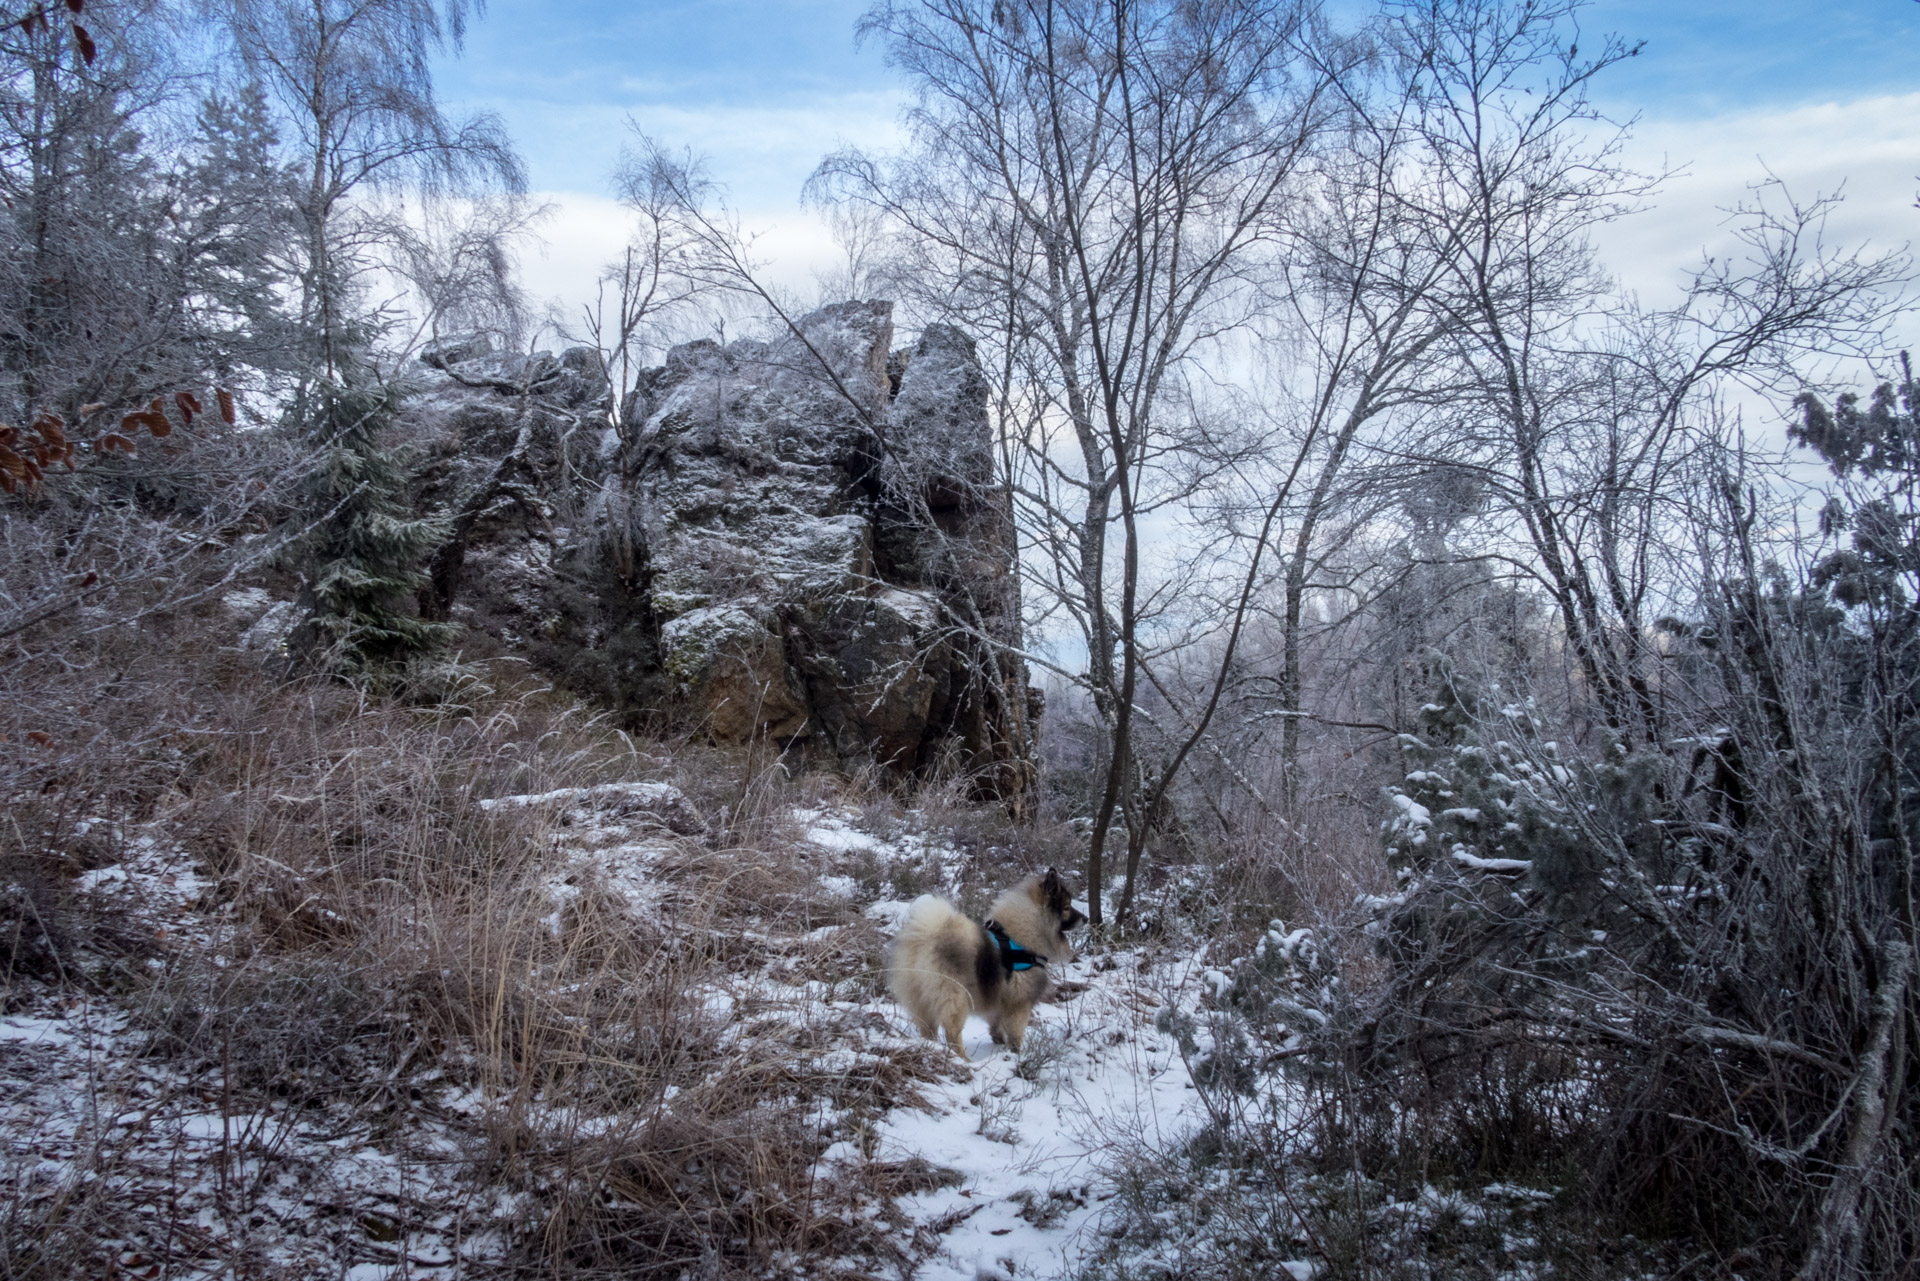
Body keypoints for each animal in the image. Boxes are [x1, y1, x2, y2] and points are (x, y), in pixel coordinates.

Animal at [879, 871, 1082, 1060]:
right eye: (1066, 907)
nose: (1086, 918)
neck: (1021, 937)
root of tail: (925, 940)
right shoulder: (1019, 1002)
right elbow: (1016, 1031)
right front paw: (1016, 1053)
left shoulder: (1001, 998)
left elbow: (997, 1022)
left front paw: (999, 1040)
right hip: (956, 999)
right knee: (952, 1034)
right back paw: (963, 1059)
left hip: (921, 1000)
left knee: (928, 1030)